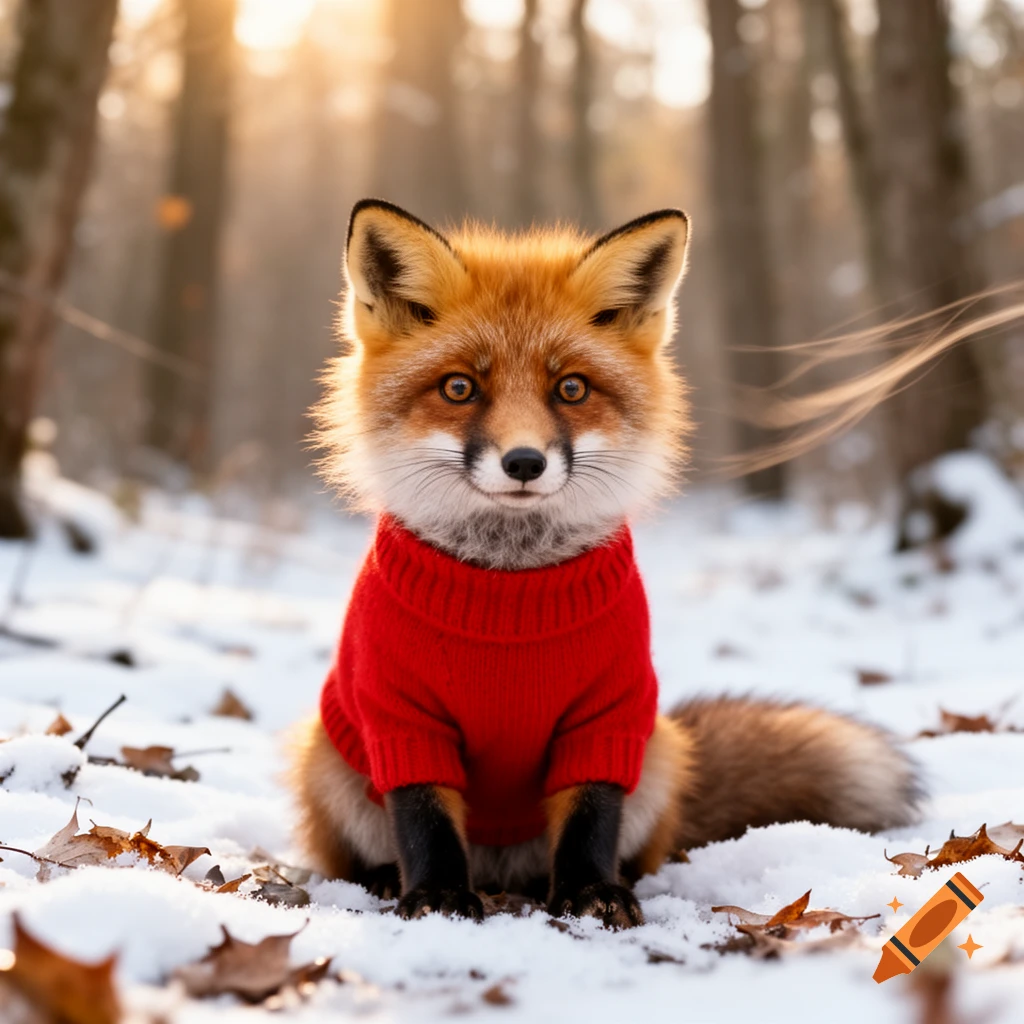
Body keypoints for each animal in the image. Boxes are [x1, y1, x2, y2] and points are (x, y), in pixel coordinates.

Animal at [290, 198, 921, 928]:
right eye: (459, 388)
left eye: (570, 388)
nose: (524, 462)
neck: (510, 589)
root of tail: (504, 869)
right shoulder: (399, 717)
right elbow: (424, 817)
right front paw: (439, 896)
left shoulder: (609, 716)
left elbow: (592, 814)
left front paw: (591, 893)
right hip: (327, 758)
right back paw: (386, 882)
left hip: (660, 752)